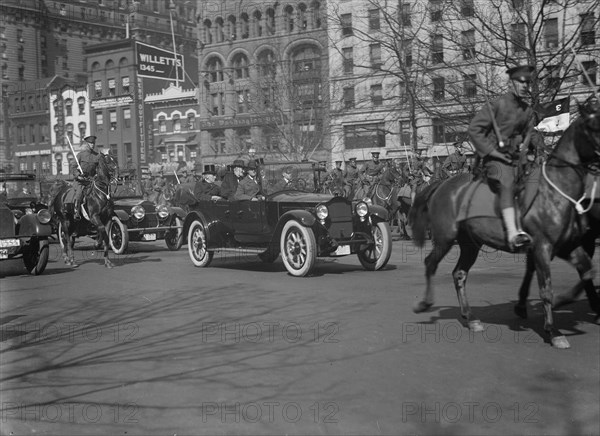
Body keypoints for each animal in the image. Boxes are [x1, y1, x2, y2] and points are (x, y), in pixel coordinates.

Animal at [410, 101, 600, 348]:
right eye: (593, 127)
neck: (557, 191)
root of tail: (443, 184)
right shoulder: (542, 248)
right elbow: (546, 289)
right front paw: (553, 330)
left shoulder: (569, 246)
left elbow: (588, 271)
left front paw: (564, 300)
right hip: (445, 238)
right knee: (430, 263)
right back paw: (425, 303)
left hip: (470, 244)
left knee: (459, 274)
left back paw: (470, 318)